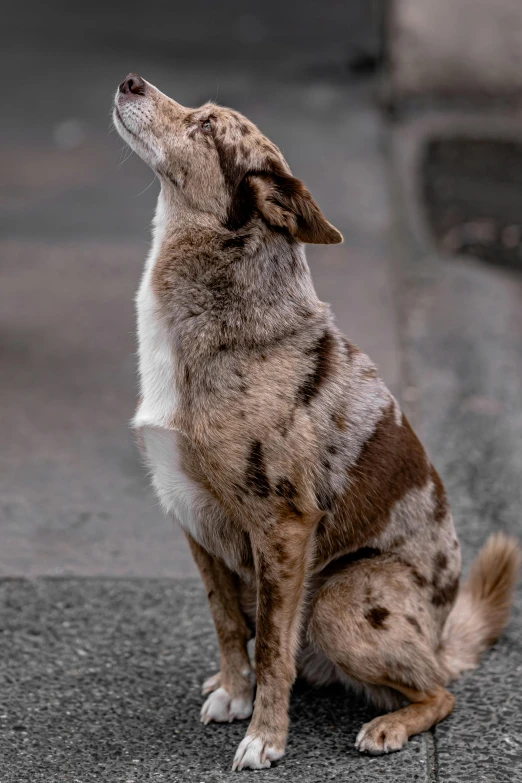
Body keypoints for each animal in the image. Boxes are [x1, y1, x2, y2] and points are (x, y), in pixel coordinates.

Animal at [111, 73, 516, 772]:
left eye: (206, 126)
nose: (131, 80)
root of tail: (442, 637)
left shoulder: (283, 527)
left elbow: (275, 647)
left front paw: (266, 737)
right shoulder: (193, 519)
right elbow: (227, 623)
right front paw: (234, 693)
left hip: (338, 602)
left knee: (439, 690)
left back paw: (390, 725)